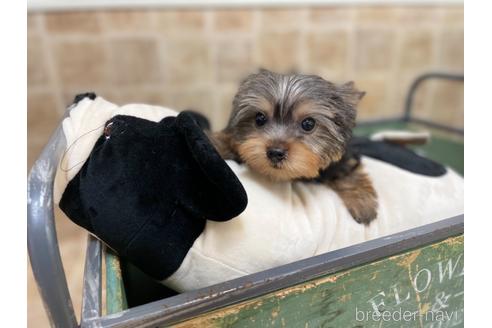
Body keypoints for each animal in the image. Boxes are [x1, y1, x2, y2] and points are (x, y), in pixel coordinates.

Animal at [210, 68, 376, 224]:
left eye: (308, 124)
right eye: (259, 119)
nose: (275, 152)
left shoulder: (345, 159)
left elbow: (348, 171)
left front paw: (362, 202)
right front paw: (216, 143)